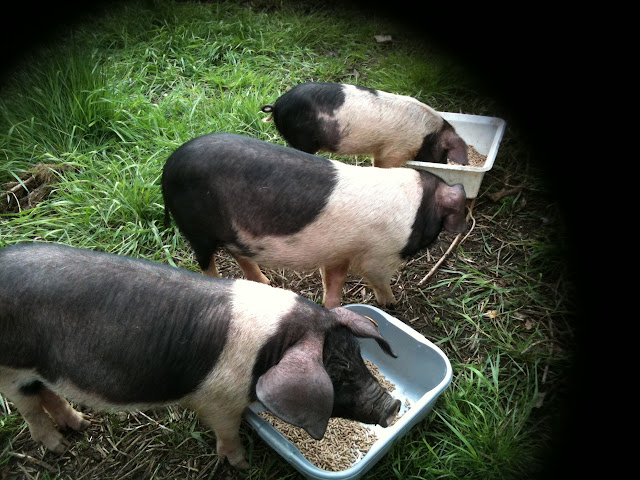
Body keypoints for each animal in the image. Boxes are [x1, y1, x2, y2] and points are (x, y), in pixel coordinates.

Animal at [0, 242, 401, 469]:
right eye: (338, 374)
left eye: (359, 358)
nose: (394, 406)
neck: (273, 345)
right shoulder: (218, 399)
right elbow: (227, 431)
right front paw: (240, 465)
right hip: (10, 368)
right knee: (30, 407)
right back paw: (59, 447)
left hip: (37, 368)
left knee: (48, 394)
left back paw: (82, 425)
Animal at [162, 133, 467, 308]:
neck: (418, 207)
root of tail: (169, 166)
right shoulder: (379, 256)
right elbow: (378, 279)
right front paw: (392, 304)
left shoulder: (338, 255)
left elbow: (333, 284)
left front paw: (332, 308)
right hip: (196, 228)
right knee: (206, 263)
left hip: (233, 232)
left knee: (239, 254)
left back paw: (266, 282)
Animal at [261, 82, 469, 167]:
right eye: (445, 152)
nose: (444, 164)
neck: (427, 135)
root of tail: (277, 105)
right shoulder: (397, 149)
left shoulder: (380, 149)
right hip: (302, 139)